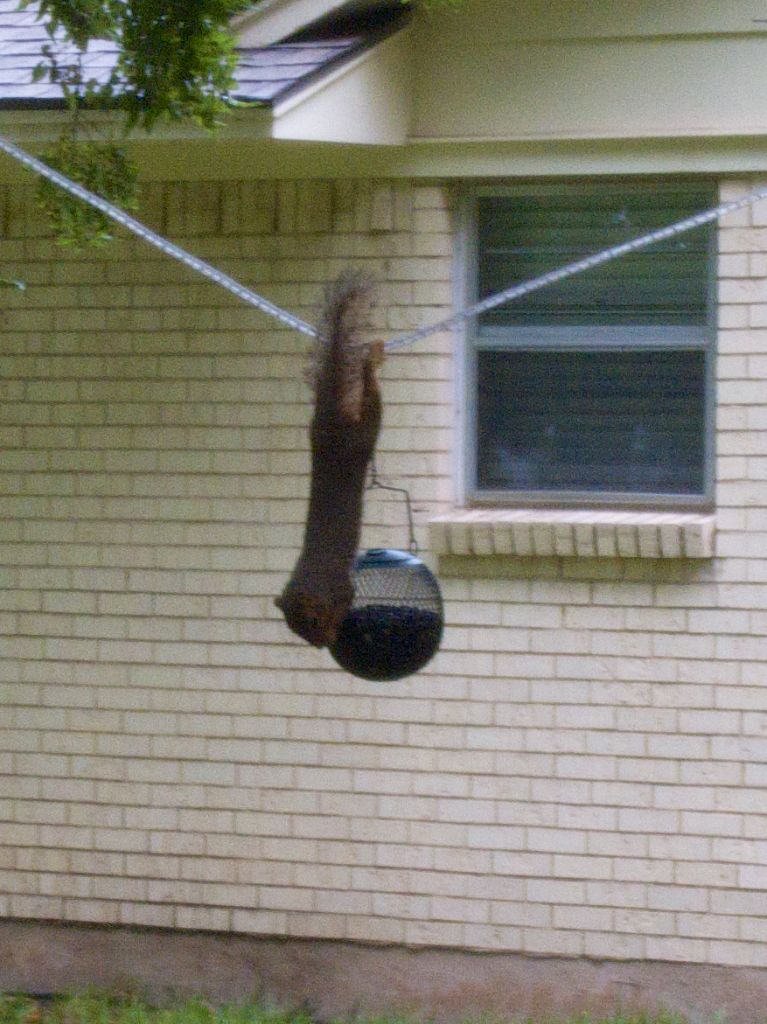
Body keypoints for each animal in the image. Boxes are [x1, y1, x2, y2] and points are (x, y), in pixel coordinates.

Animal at [274, 272, 382, 647]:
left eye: (314, 621)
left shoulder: (340, 589)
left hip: (362, 434)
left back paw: (372, 360)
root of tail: (328, 419)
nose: (321, 644)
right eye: (299, 630)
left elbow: (347, 600)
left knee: (372, 396)